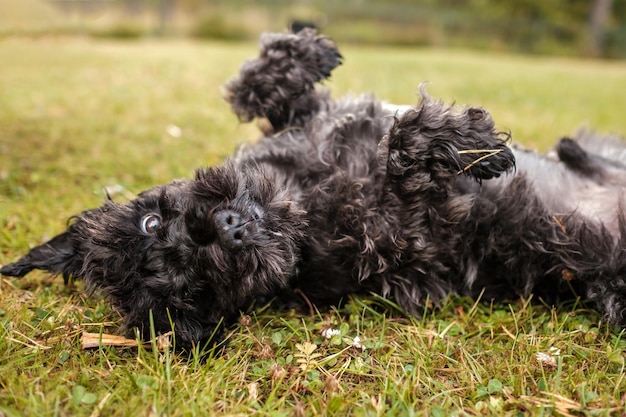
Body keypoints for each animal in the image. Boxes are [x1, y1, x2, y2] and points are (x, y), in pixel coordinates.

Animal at [1, 28, 624, 348]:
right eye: (188, 291)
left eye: (152, 222)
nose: (226, 230)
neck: (296, 199)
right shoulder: (411, 239)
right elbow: (403, 155)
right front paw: (464, 141)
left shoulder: (303, 122)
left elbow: (254, 87)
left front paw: (306, 49)